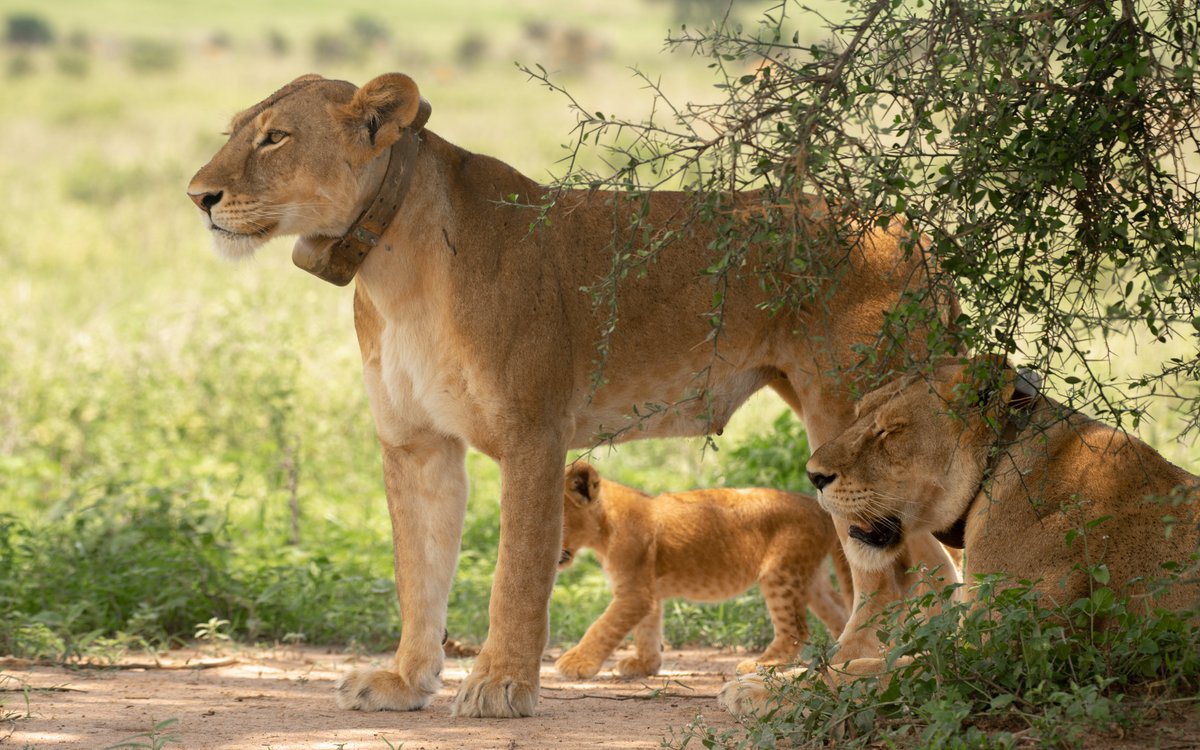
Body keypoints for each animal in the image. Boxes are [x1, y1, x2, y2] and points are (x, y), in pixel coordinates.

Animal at [555, 462, 851, 678]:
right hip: (810, 576)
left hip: (780, 573)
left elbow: (604, 627)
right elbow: (647, 628)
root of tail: (820, 509)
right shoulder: (648, 591)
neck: (603, 528)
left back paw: (763, 664)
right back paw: (842, 656)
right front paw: (645, 664)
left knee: (797, 630)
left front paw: (576, 663)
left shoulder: (634, 592)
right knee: (838, 610)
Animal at [719, 356, 1200, 714]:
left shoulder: (1002, 656)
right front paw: (764, 676)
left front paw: (755, 692)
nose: (813, 476)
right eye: (858, 416)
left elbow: (872, 671)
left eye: (890, 430)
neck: (1000, 461)